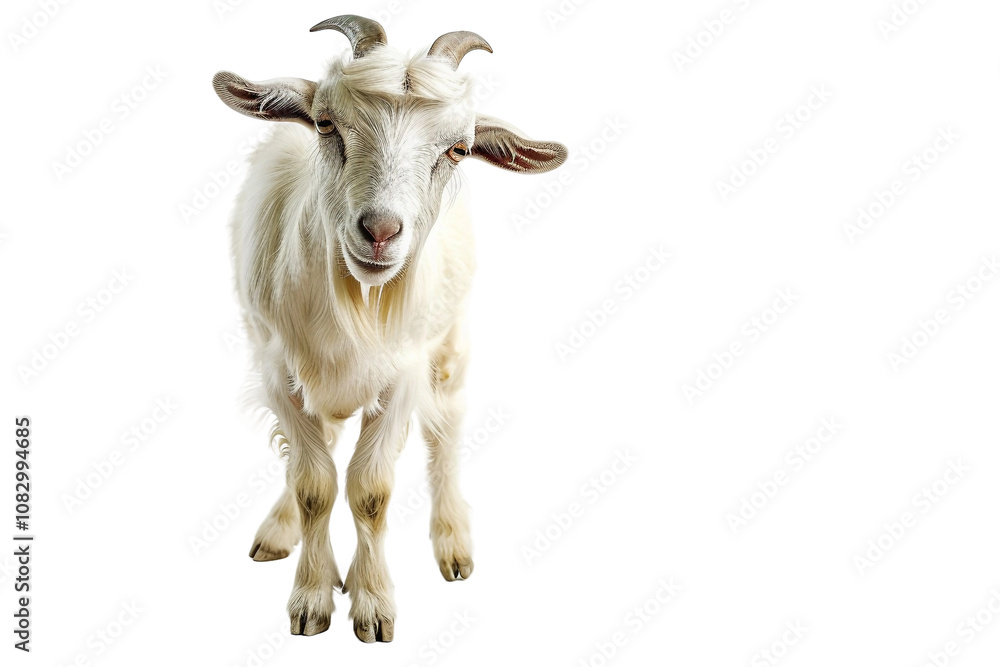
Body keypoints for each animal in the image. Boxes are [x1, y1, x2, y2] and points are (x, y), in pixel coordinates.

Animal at [212, 15, 567, 641]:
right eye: (326, 123)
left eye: (458, 149)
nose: (379, 231)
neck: (355, 301)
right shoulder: (280, 368)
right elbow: (314, 484)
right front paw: (312, 597)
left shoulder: (402, 372)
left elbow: (370, 490)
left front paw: (373, 603)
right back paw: (280, 531)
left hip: (450, 343)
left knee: (446, 429)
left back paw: (453, 545)